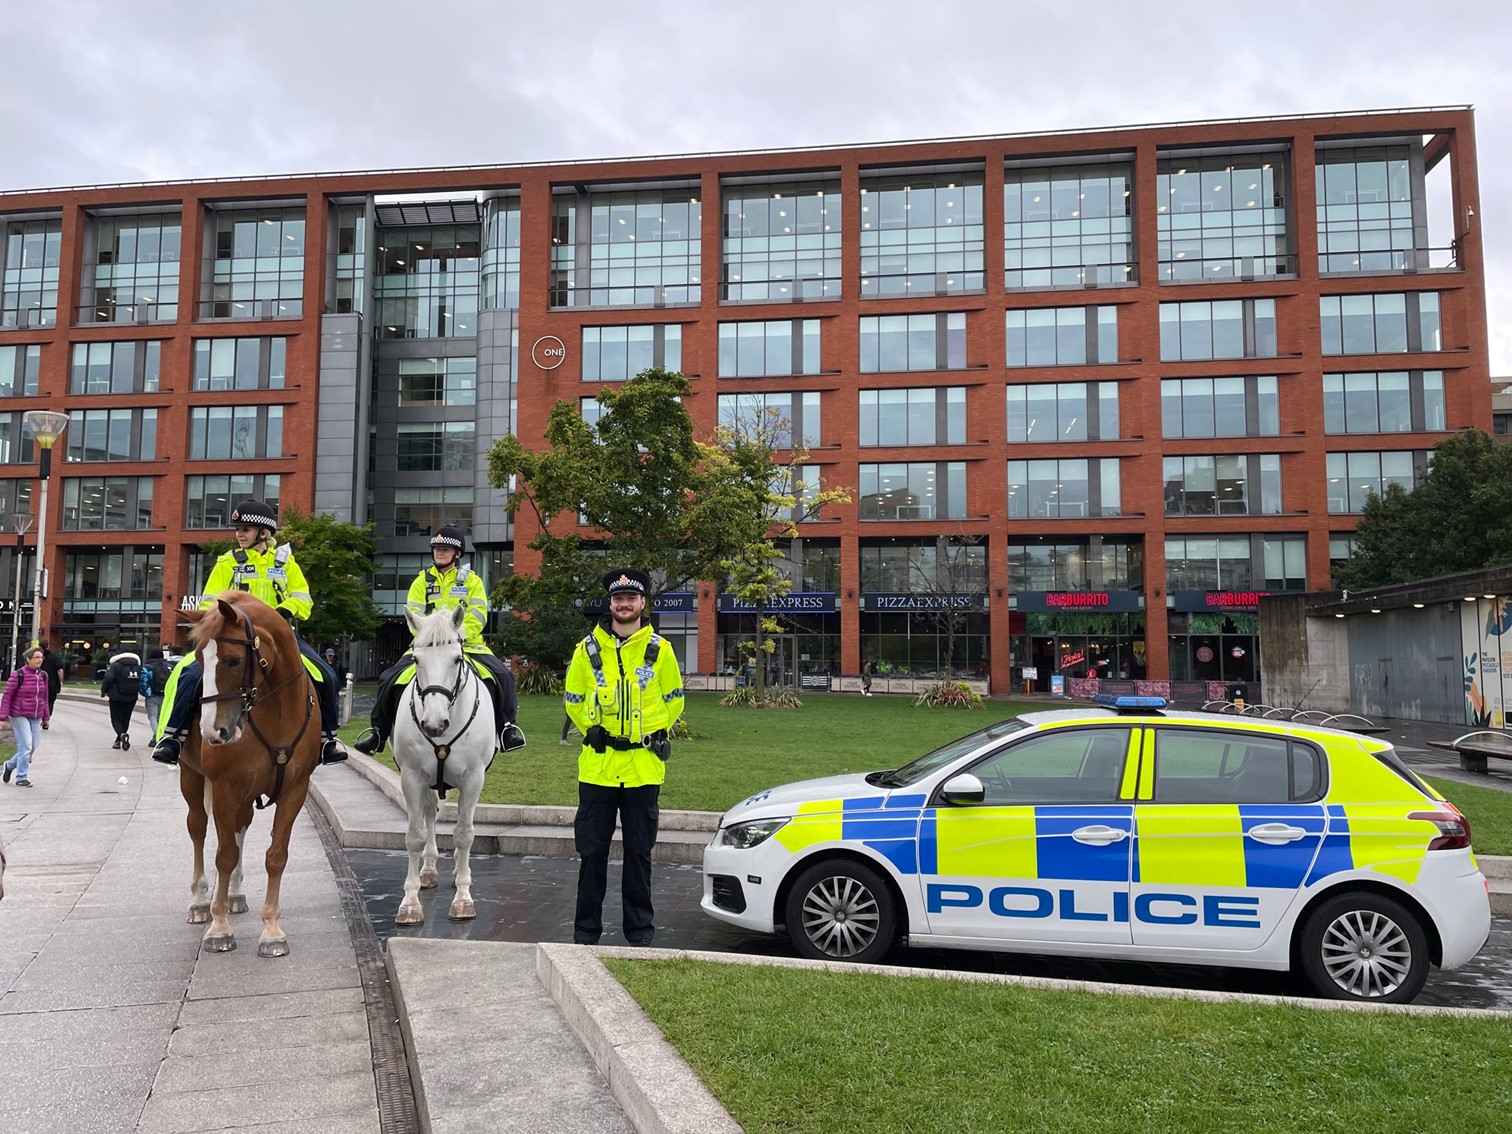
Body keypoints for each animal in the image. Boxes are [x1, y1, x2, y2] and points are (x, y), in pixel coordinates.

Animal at [179, 595, 322, 961]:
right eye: (198, 658)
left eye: (233, 660)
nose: (212, 732)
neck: (277, 710)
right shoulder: (225, 787)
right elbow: (224, 855)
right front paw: (219, 927)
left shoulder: (295, 789)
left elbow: (276, 856)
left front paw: (271, 930)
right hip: (191, 777)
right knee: (198, 829)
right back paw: (200, 901)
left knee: (240, 828)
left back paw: (234, 895)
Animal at [393, 604, 492, 925]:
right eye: (416, 659)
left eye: (457, 659)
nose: (434, 725)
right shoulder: (411, 777)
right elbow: (415, 836)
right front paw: (410, 903)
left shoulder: (473, 778)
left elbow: (464, 835)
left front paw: (463, 898)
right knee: (429, 814)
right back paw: (428, 870)